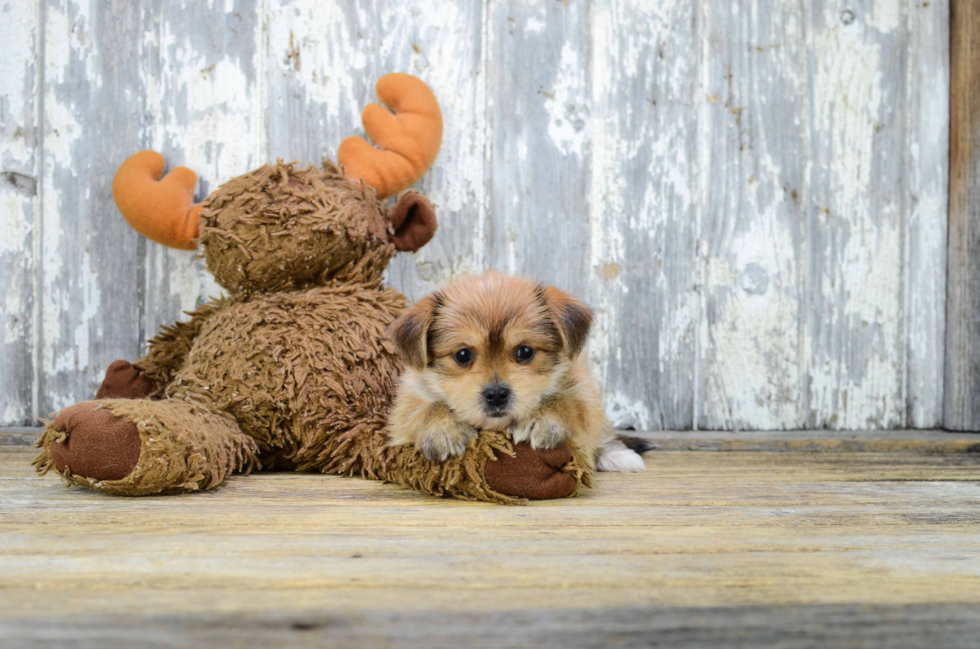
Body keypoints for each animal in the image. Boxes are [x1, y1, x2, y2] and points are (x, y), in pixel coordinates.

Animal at [384, 270, 652, 474]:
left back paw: (618, 455)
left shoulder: (583, 396)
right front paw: (443, 428)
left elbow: (565, 402)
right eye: (462, 355)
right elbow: (426, 409)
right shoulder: (403, 413)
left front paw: (542, 418)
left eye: (524, 351)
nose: (496, 395)